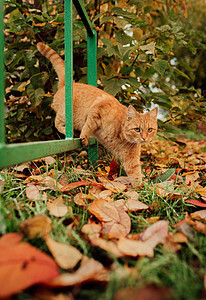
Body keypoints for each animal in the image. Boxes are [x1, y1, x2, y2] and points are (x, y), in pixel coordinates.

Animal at [36, 42, 158, 185]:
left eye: (149, 130)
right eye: (137, 129)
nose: (144, 138)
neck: (121, 136)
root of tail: (66, 84)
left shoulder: (131, 159)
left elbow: (136, 175)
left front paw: (141, 188)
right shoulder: (97, 110)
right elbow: (88, 126)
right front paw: (83, 137)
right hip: (65, 114)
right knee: (57, 123)